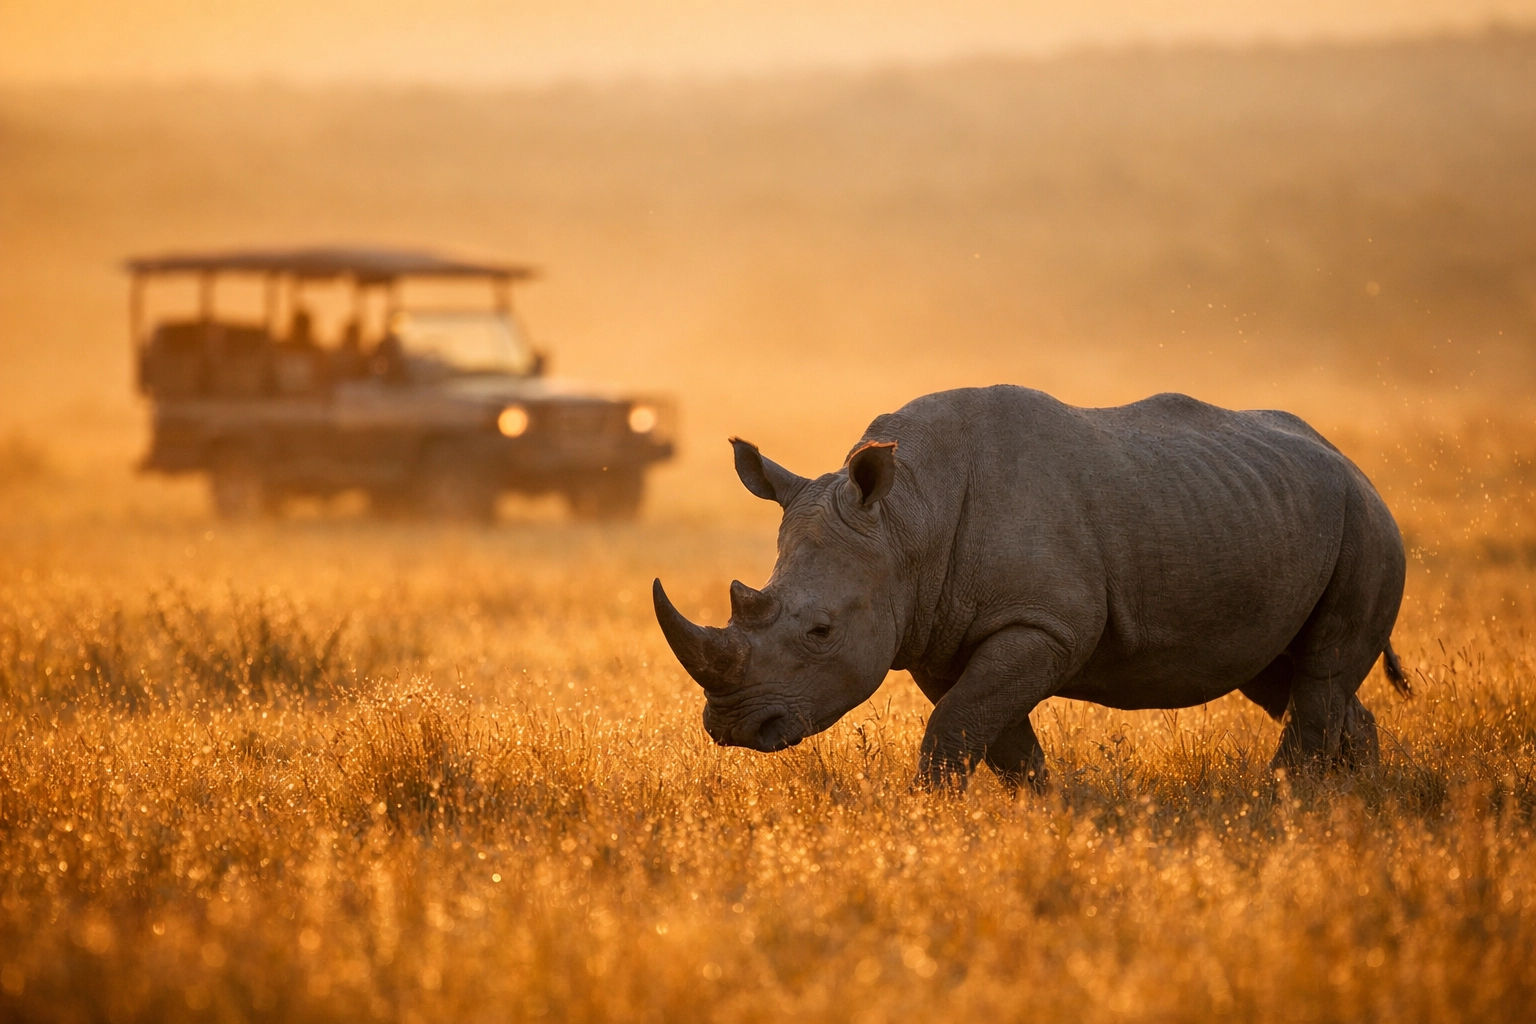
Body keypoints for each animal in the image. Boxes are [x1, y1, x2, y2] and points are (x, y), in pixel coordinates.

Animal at [653, 386, 1408, 790]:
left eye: (821, 631)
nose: (734, 728)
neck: (904, 522)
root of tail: (1353, 463)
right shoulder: (939, 632)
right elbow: (994, 734)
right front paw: (1044, 815)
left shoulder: (1044, 625)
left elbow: (956, 724)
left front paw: (927, 818)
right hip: (1274, 509)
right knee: (1282, 677)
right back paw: (1353, 799)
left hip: (1366, 524)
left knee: (1318, 675)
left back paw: (1287, 799)